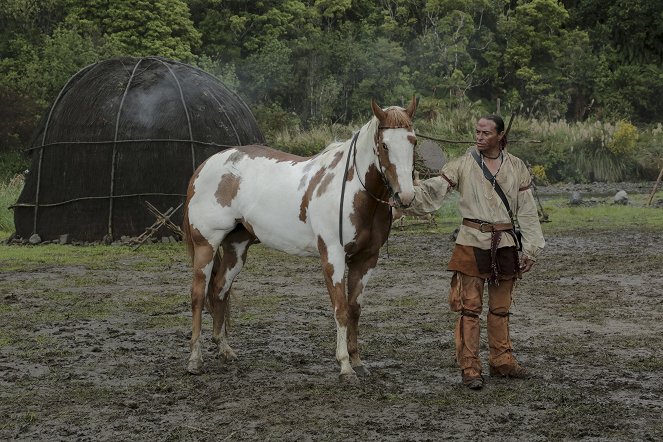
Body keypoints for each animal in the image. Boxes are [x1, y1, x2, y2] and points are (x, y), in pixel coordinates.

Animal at [182, 96, 418, 380]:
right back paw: (195, 359)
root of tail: (204, 166)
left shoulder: (366, 259)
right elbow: (340, 309)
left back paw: (224, 349)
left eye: (413, 141)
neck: (355, 192)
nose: (406, 196)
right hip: (206, 244)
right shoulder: (333, 256)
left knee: (219, 291)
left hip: (235, 248)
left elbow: (354, 309)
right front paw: (345, 366)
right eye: (384, 145)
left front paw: (358, 361)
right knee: (198, 295)